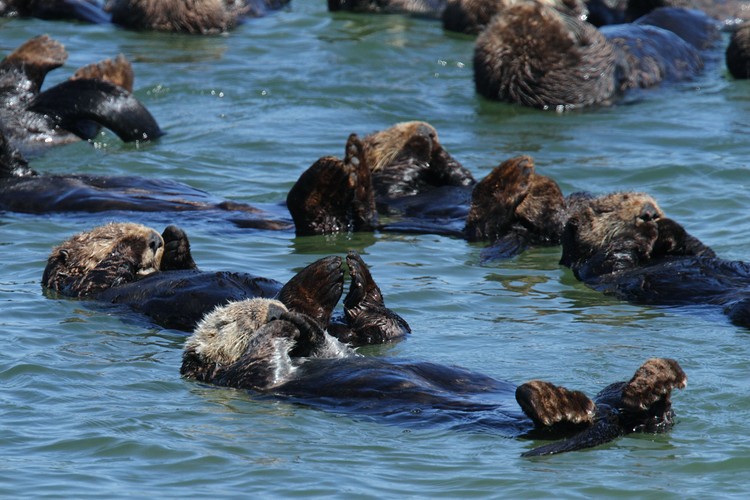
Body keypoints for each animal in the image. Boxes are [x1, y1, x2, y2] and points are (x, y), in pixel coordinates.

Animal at [43, 222, 410, 345]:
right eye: (106, 236)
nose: (154, 240)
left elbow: (184, 265)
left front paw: (175, 241)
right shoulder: (86, 288)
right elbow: (106, 271)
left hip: (375, 324)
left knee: (383, 321)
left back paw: (360, 277)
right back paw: (324, 277)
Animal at [181, 297, 686, 456]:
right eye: (231, 319)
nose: (273, 306)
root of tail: (608, 416)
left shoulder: (329, 353)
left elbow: (331, 348)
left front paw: (301, 320)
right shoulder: (248, 380)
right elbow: (262, 359)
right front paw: (280, 325)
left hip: (618, 401)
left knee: (645, 411)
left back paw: (656, 377)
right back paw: (550, 400)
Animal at [558, 191, 750, 328]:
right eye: (607, 210)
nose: (649, 212)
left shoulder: (699, 253)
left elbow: (703, 250)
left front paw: (666, 226)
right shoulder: (591, 268)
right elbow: (614, 256)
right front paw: (644, 230)